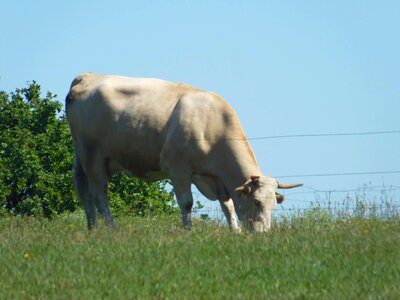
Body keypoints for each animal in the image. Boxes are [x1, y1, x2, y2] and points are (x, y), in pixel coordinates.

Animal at [66, 72, 304, 232]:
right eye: (256, 202)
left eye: (273, 204)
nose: (263, 233)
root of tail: (87, 76)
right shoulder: (178, 169)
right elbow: (186, 203)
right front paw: (188, 231)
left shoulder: (216, 180)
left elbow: (227, 207)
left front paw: (235, 232)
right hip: (92, 155)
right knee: (99, 194)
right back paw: (112, 228)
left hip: (83, 155)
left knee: (83, 190)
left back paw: (92, 228)